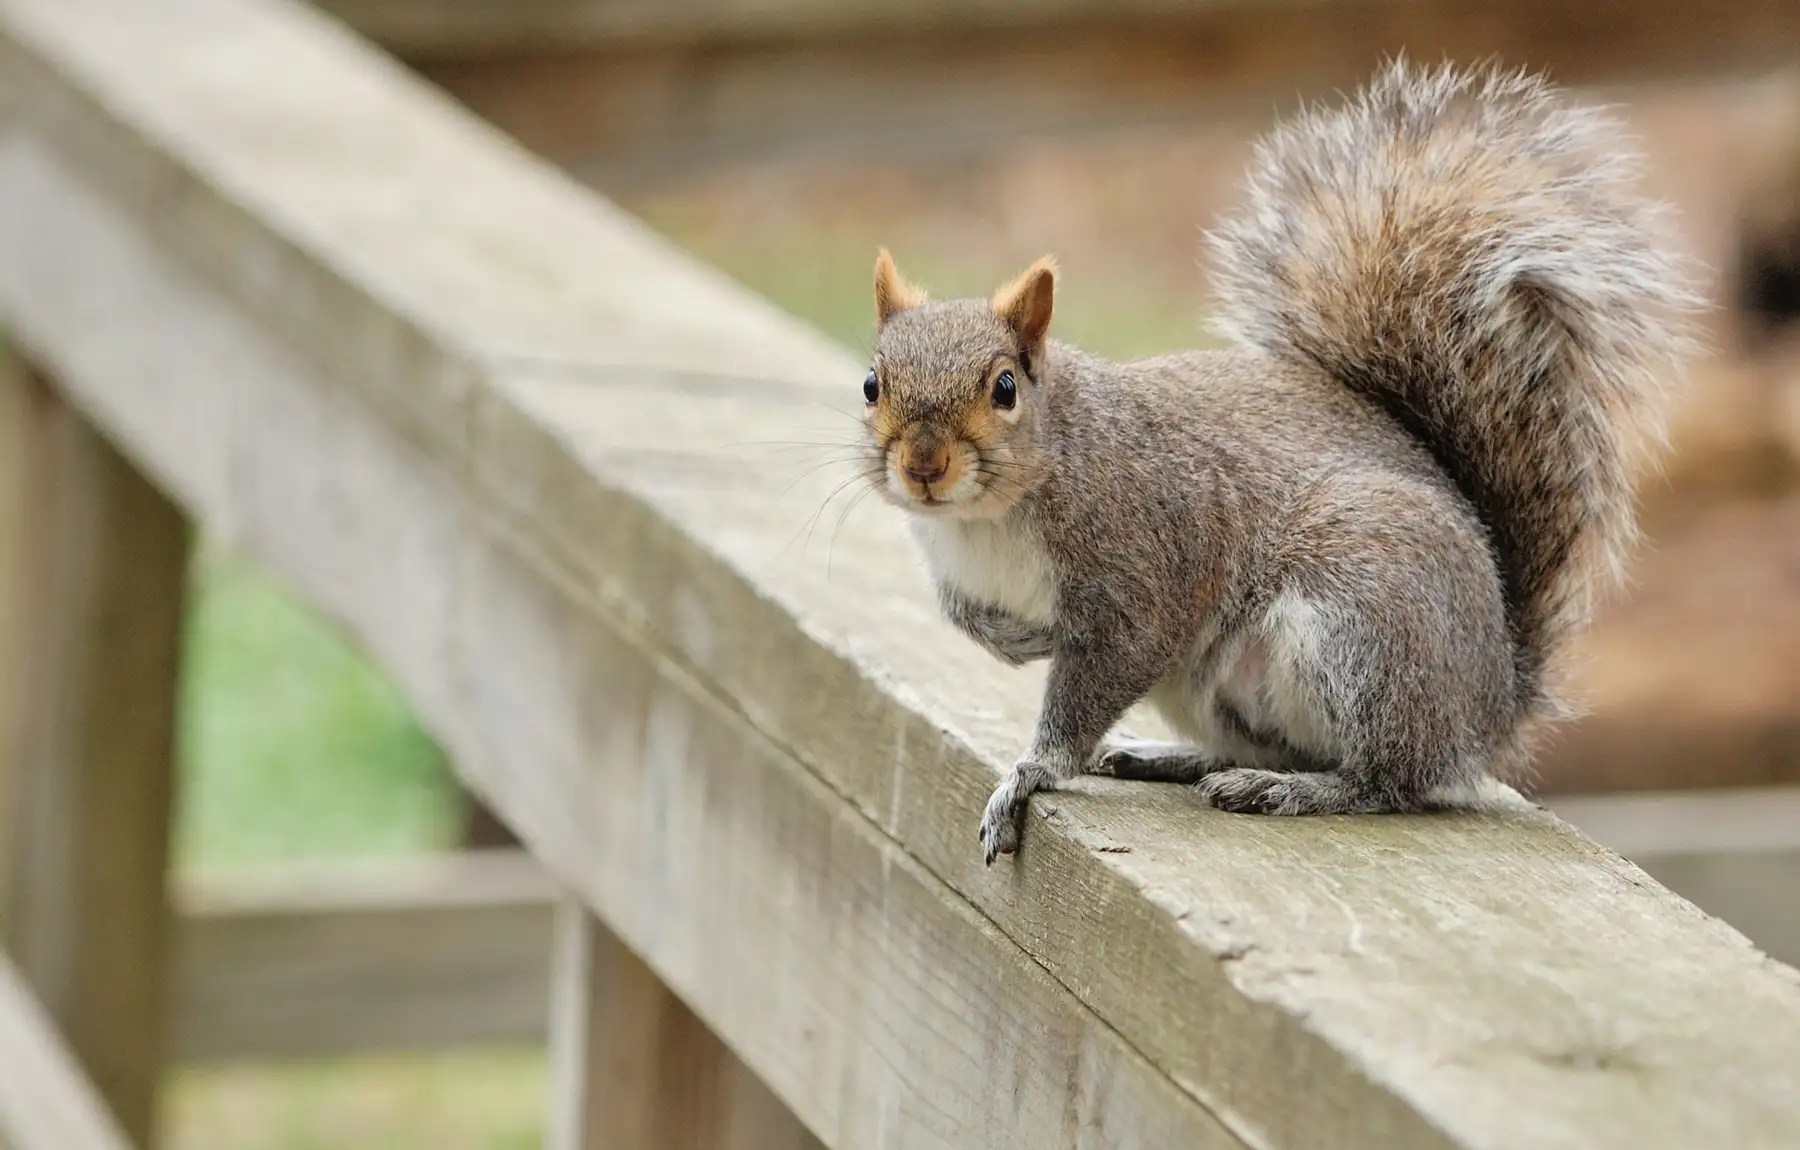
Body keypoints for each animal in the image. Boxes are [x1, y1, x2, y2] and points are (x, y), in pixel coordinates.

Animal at [857, 60, 1700, 865]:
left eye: (1004, 388)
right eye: (871, 384)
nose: (924, 465)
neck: (985, 520)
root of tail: (1491, 702)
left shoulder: (1139, 568)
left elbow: (1094, 684)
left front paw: (1030, 772)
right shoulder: (953, 566)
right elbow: (960, 615)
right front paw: (1014, 640)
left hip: (1364, 621)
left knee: (1392, 779)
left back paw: (1296, 790)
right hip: (1222, 687)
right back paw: (1176, 759)